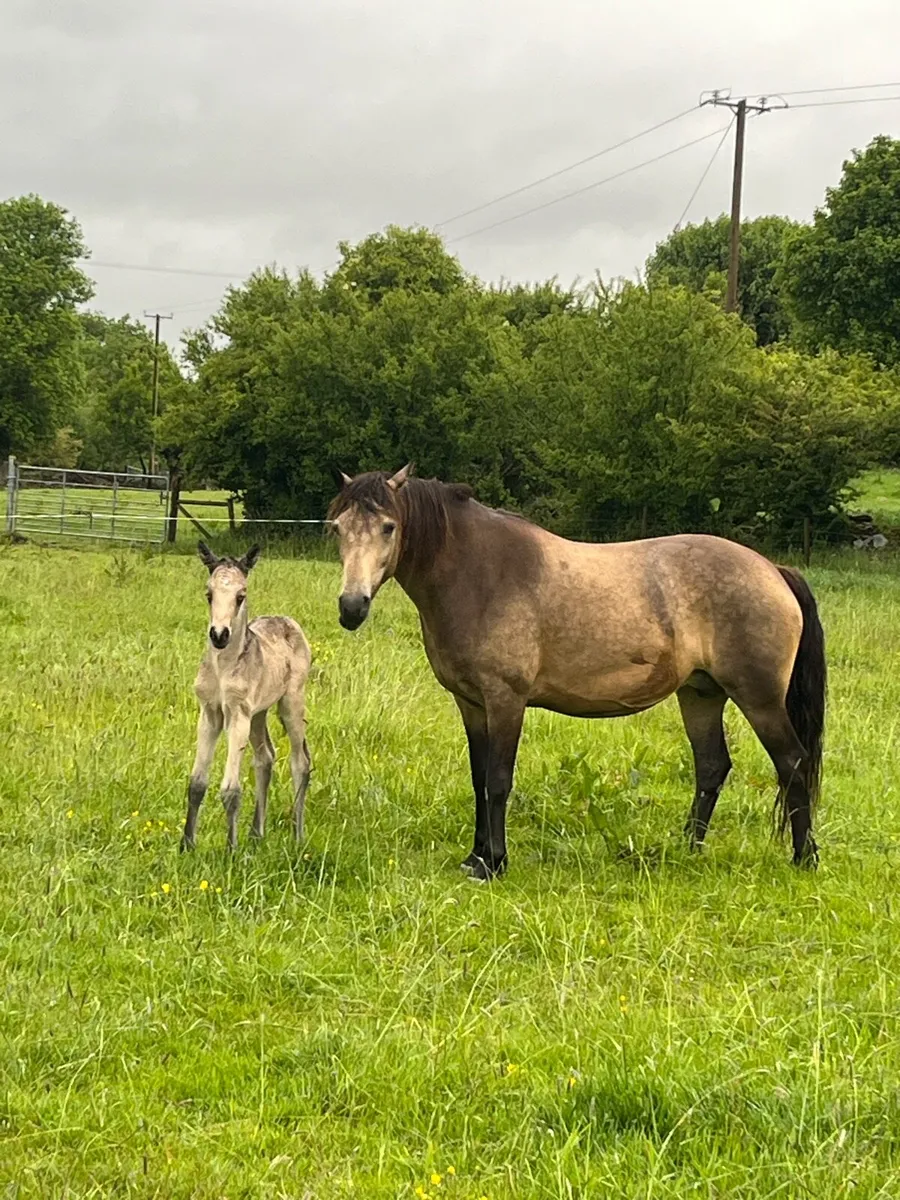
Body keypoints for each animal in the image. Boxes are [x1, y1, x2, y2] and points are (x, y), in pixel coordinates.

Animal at [181, 542, 312, 852]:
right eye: (209, 595)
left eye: (241, 596)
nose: (219, 635)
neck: (222, 668)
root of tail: (288, 621)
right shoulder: (210, 713)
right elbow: (196, 783)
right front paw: (187, 845)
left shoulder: (237, 715)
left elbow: (230, 790)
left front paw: (231, 850)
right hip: (259, 713)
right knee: (265, 757)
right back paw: (256, 833)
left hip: (291, 702)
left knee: (301, 762)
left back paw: (297, 836)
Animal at [328, 465, 826, 882]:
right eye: (339, 529)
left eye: (388, 527)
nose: (352, 607)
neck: (479, 574)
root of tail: (773, 570)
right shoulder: (471, 703)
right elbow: (478, 778)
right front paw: (475, 857)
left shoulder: (505, 700)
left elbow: (497, 780)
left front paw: (494, 863)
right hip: (700, 694)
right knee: (711, 766)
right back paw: (686, 848)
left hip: (759, 699)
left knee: (792, 763)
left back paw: (803, 858)